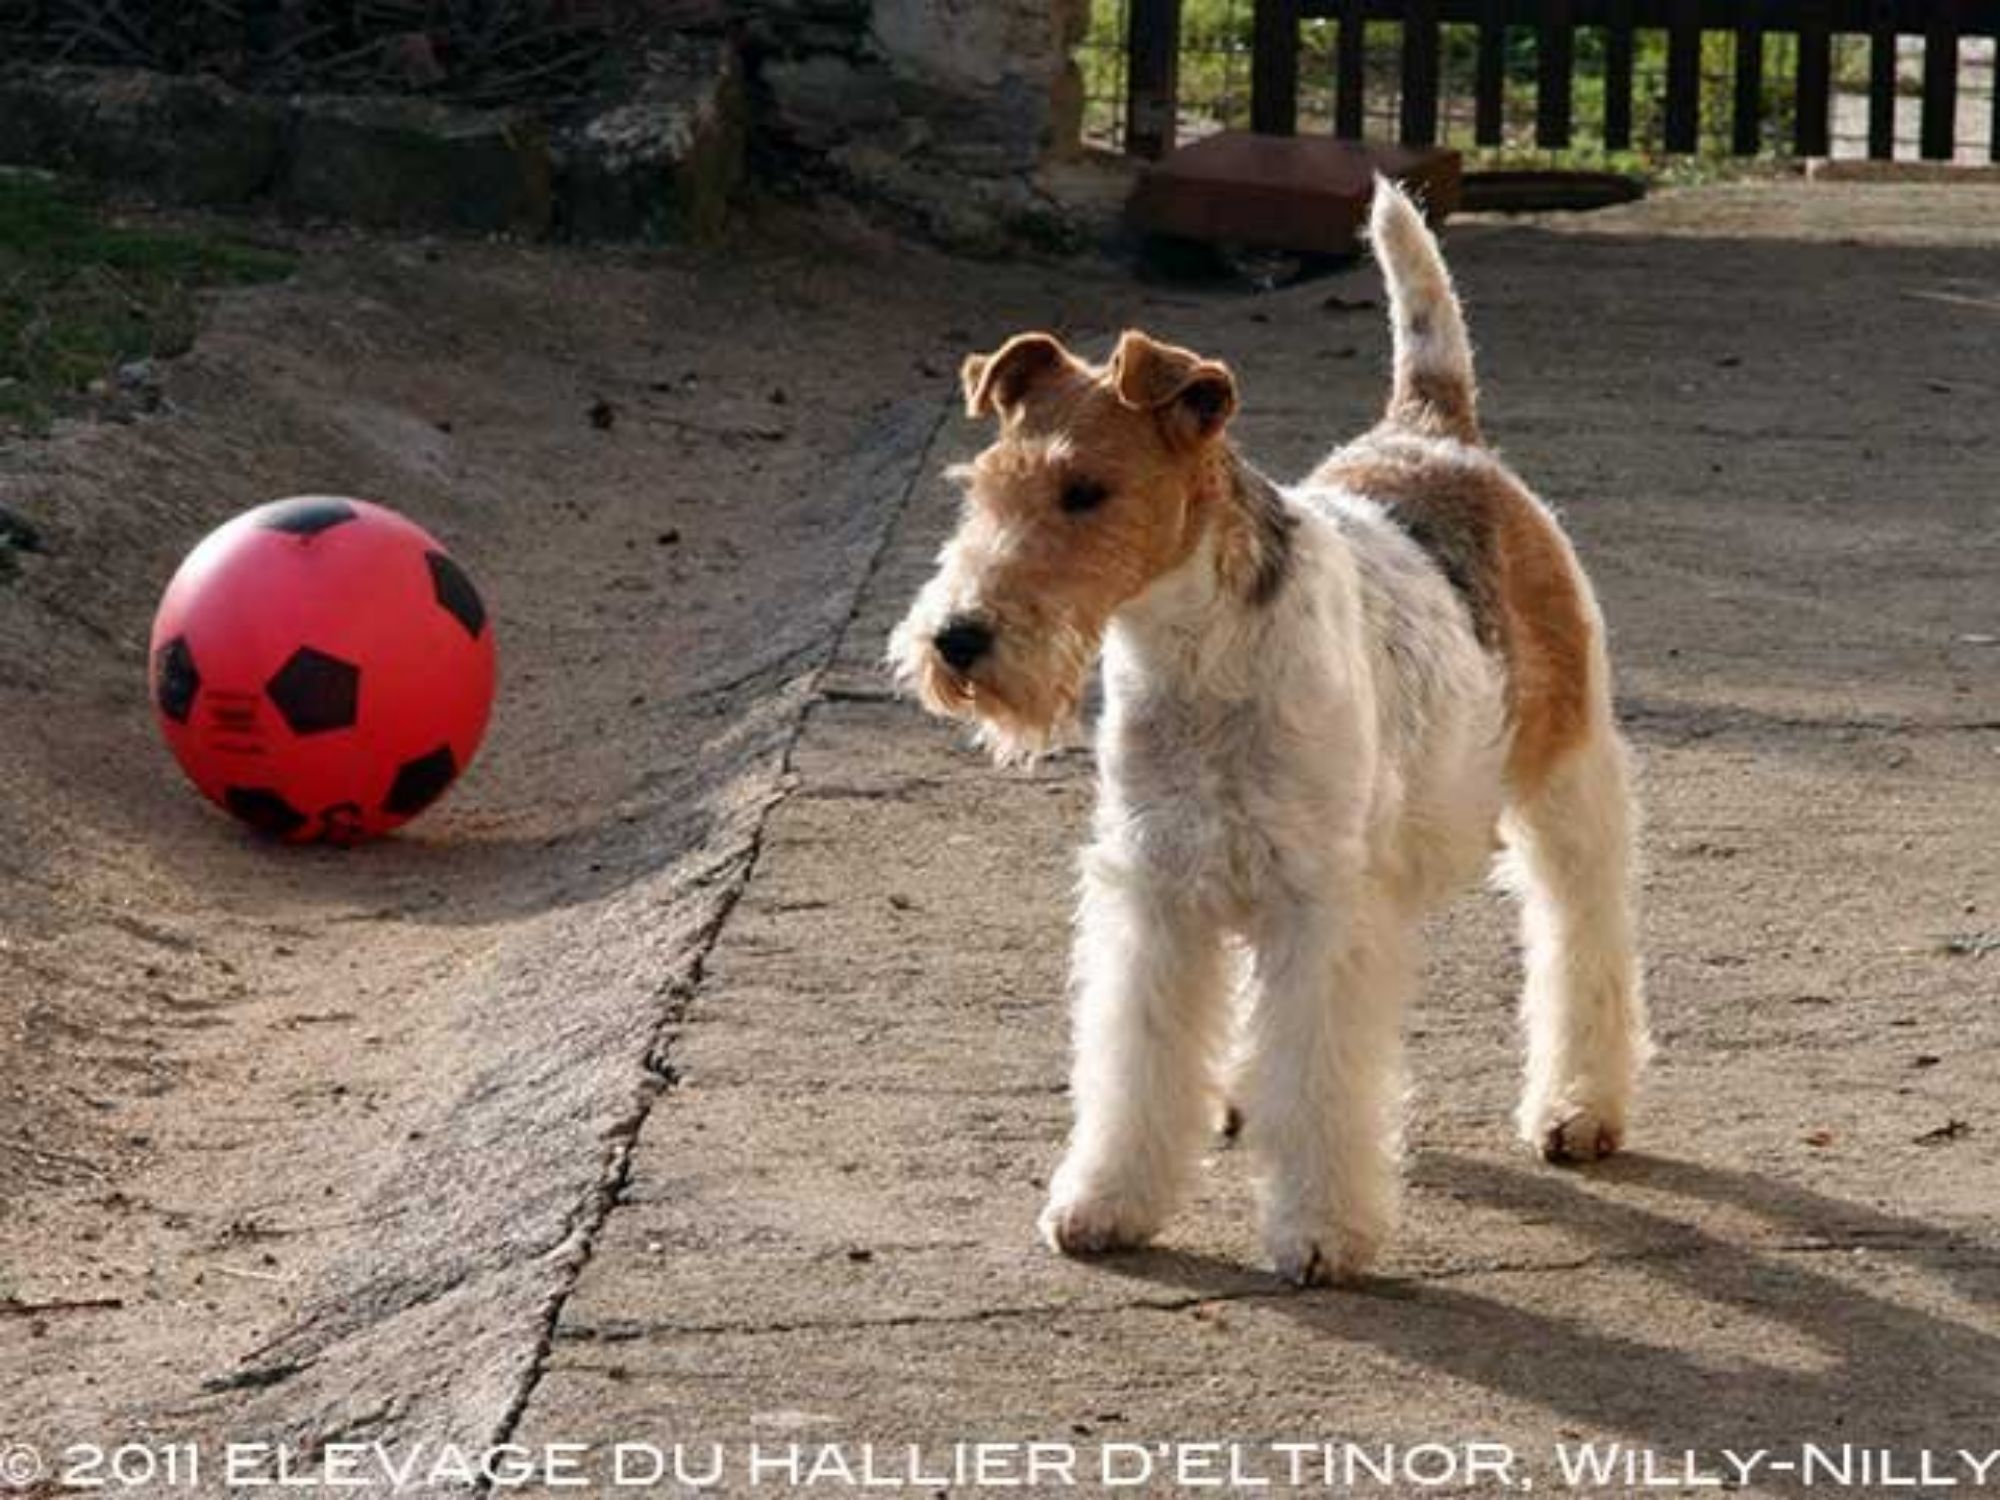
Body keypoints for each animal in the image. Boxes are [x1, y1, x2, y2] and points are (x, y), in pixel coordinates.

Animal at [889, 180, 1648, 1284]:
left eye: (1085, 491)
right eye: (981, 488)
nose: (956, 640)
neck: (1198, 657)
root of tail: (1438, 435)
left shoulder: (1319, 900)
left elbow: (1322, 1073)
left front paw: (1321, 1232)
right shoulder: (1156, 888)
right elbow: (1138, 1063)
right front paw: (1105, 1203)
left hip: (1563, 776)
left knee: (1581, 930)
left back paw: (1579, 1108)